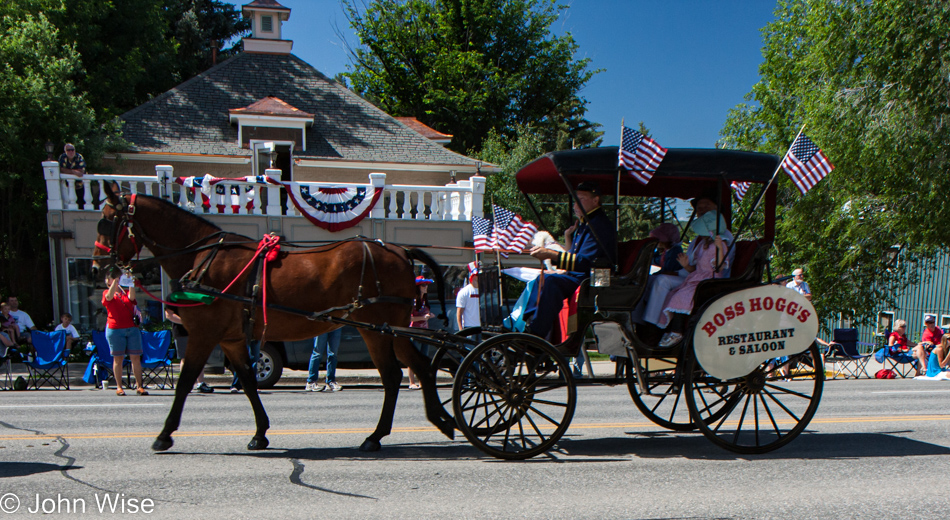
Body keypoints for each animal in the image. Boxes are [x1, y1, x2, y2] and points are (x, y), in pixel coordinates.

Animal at [93, 182, 458, 450]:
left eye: (107, 221)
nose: (98, 266)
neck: (203, 258)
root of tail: (399, 250)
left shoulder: (204, 335)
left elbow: (185, 382)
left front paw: (164, 434)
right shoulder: (231, 339)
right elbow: (248, 381)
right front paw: (260, 432)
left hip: (379, 329)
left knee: (394, 375)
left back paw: (381, 434)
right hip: (389, 328)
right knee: (417, 368)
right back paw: (437, 420)